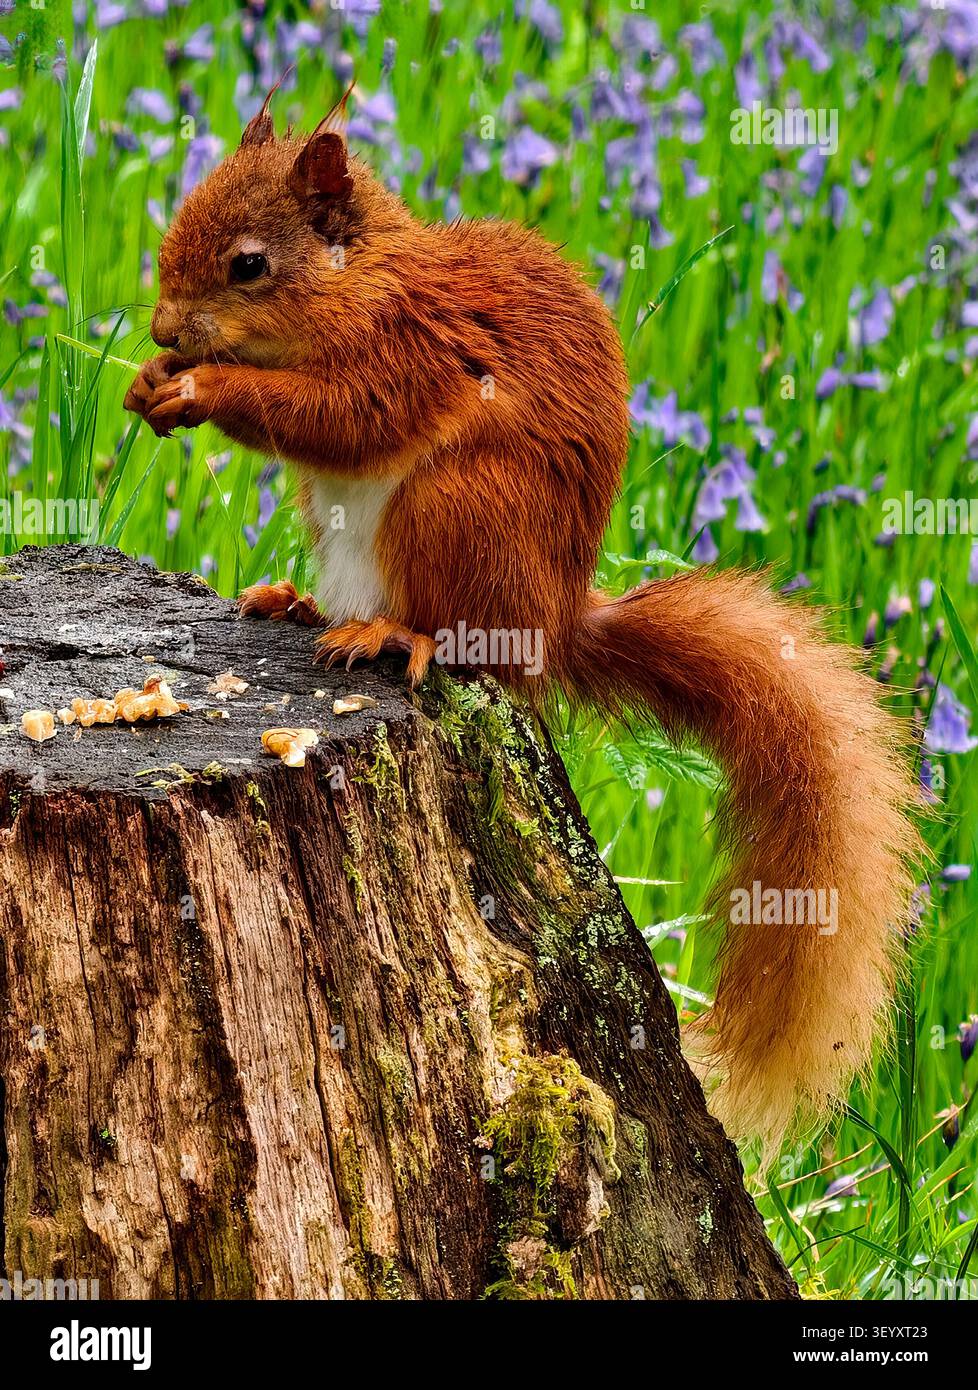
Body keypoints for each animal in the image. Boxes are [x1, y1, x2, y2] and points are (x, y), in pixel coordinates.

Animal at [124, 92, 920, 1156]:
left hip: (461, 508)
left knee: (465, 639)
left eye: (249, 265)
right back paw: (300, 604)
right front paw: (149, 379)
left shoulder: (411, 353)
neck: (358, 283)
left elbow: (342, 418)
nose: (165, 325)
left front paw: (201, 386)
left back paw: (396, 636)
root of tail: (553, 626)